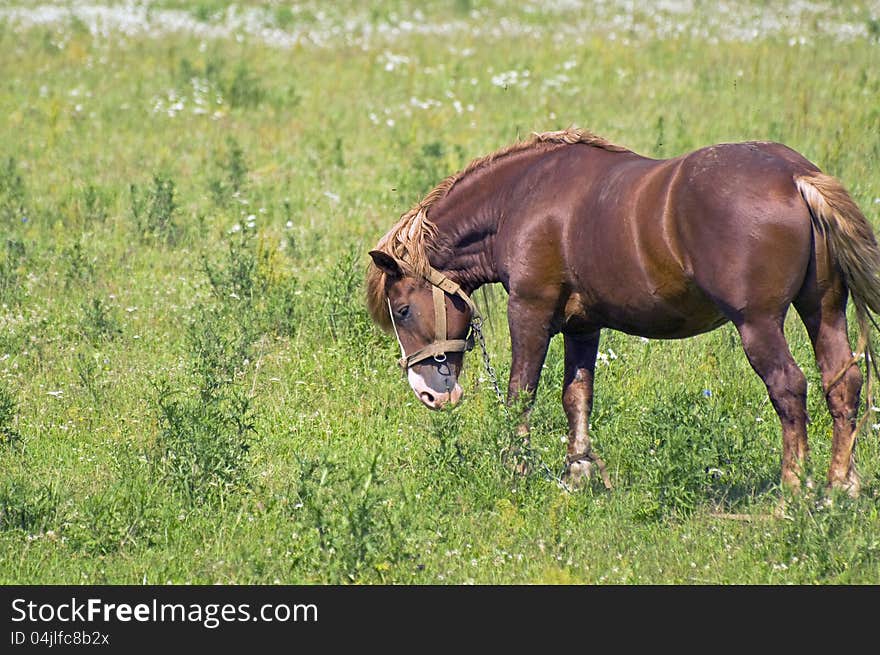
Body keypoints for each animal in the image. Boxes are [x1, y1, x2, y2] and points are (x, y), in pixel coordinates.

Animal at [366, 127, 880, 498]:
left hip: (758, 324)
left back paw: (793, 490)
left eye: (404, 309)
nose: (428, 394)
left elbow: (520, 394)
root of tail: (795, 177)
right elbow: (576, 397)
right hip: (822, 310)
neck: (520, 200)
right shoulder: (582, 326)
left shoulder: (530, 311)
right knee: (843, 380)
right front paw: (579, 473)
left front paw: (516, 470)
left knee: (789, 387)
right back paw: (841, 486)